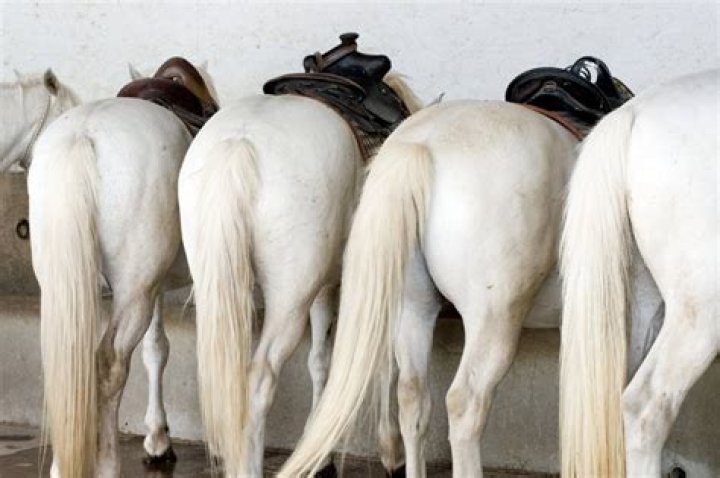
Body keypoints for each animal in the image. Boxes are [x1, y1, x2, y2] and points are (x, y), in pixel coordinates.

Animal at [27, 60, 218, 478]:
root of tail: (82, 136)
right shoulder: (157, 286)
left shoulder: (157, 285)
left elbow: (156, 348)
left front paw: (158, 439)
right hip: (134, 292)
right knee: (110, 365)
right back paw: (106, 462)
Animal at [177, 72, 422, 477]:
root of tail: (238, 145)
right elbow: (380, 361)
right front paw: (391, 450)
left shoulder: (324, 287)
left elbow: (320, 360)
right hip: (288, 301)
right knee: (259, 380)